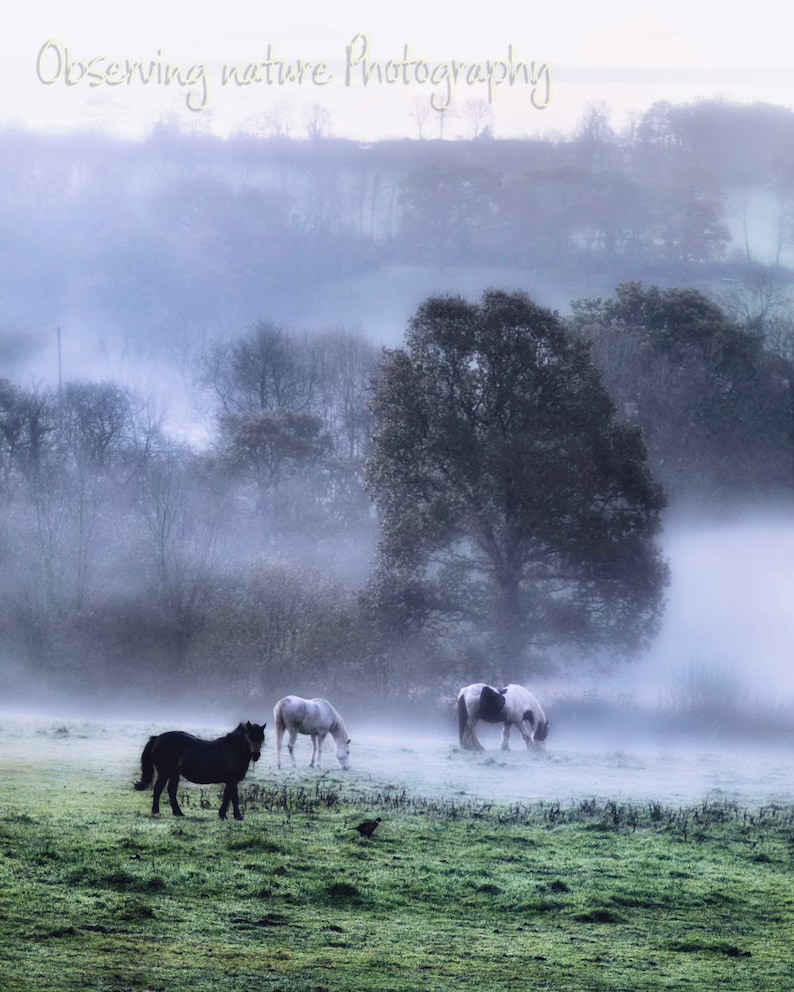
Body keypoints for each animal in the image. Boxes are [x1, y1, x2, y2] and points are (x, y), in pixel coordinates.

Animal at [131, 720, 264, 820]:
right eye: (249, 737)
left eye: (261, 738)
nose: (256, 755)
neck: (232, 749)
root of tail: (157, 738)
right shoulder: (232, 780)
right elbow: (234, 797)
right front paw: (237, 816)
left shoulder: (230, 781)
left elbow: (227, 797)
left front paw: (222, 815)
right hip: (164, 773)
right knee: (158, 789)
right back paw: (156, 811)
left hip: (174, 773)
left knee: (171, 791)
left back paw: (178, 813)